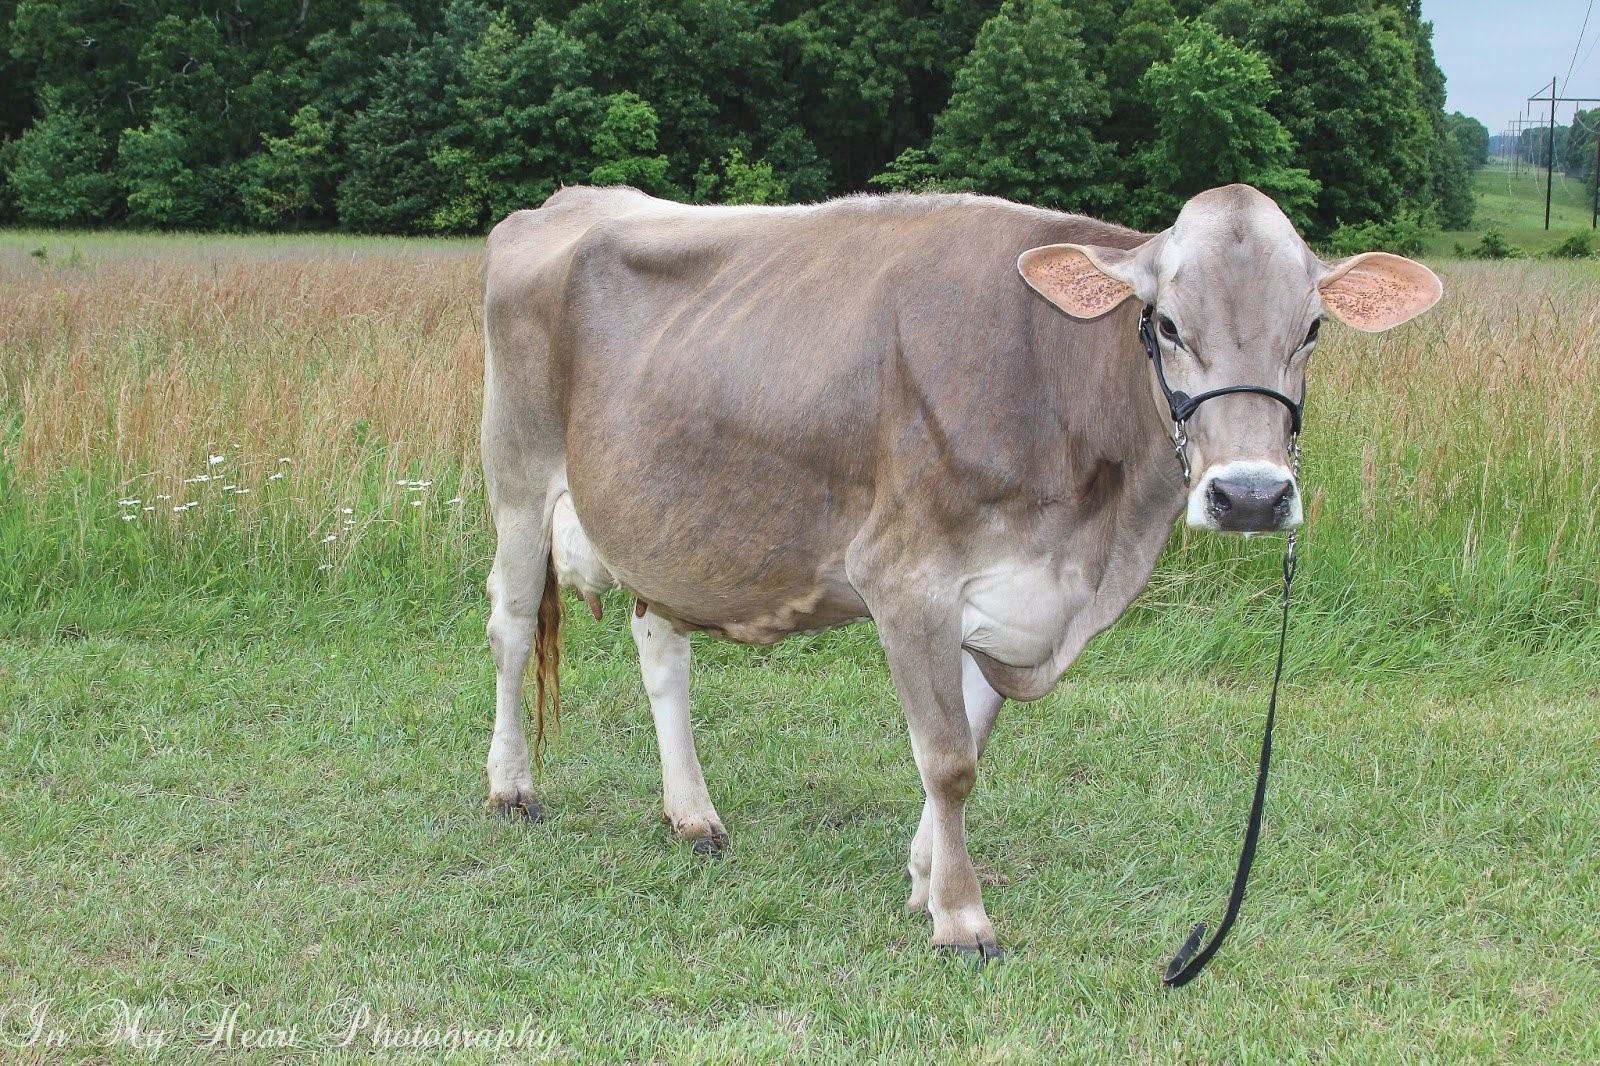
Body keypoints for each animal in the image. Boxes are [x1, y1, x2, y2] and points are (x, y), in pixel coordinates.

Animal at [473, 186, 1440, 960]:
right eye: (1166, 323)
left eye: (1312, 328)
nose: (1250, 495)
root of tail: (565, 201)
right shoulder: (907, 579)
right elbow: (946, 761)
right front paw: (962, 918)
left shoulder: (1008, 598)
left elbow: (968, 742)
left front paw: (923, 877)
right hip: (516, 477)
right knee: (511, 628)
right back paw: (512, 788)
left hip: (667, 527)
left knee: (660, 649)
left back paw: (693, 814)